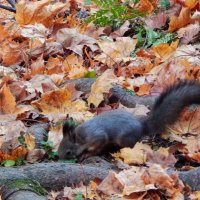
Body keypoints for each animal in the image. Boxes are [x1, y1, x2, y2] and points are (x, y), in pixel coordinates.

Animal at [57, 80, 200, 160]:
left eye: (68, 152)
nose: (59, 158)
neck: (81, 137)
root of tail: (142, 126)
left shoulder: (97, 138)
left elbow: (96, 148)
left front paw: (87, 155)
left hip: (124, 139)